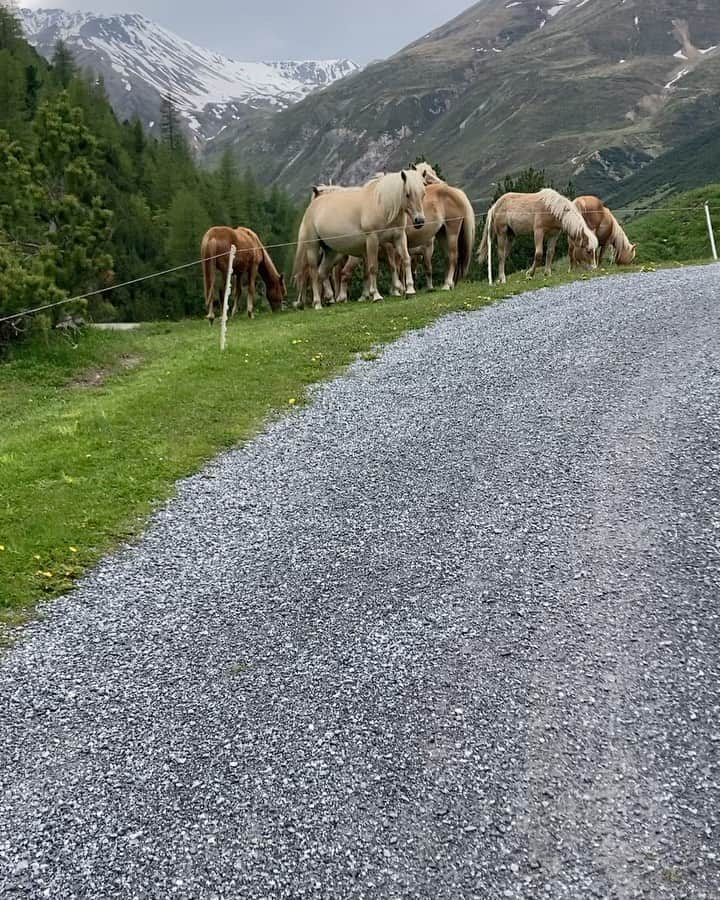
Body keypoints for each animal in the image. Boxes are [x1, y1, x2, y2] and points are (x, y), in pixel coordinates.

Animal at [294, 169, 428, 310]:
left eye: (423, 194)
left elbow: (406, 259)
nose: (419, 221)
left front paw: (410, 291)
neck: (382, 205)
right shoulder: (372, 240)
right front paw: (376, 296)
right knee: (314, 274)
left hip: (331, 252)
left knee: (322, 272)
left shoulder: (399, 238)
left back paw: (329, 299)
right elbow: (373, 268)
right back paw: (317, 303)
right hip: (312, 248)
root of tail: (313, 206)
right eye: (407, 194)